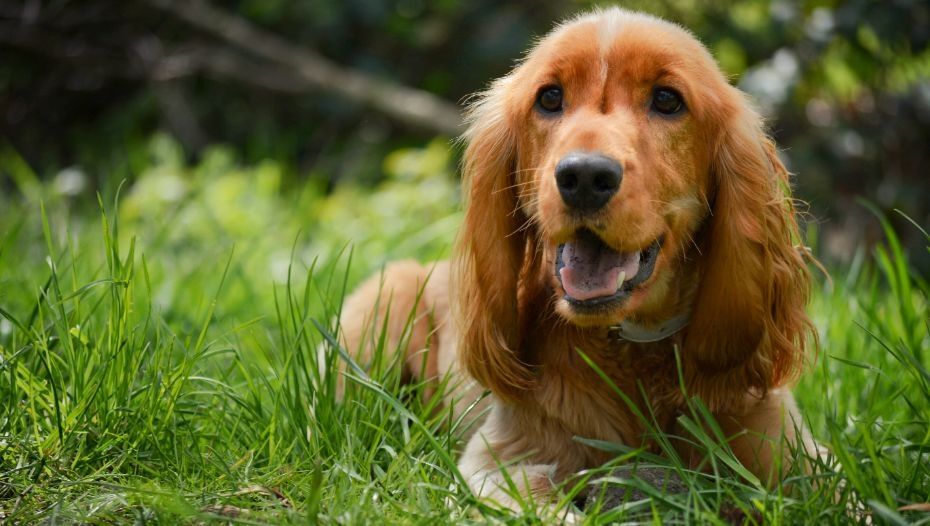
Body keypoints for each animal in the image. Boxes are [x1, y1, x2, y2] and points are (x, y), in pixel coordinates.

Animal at [334, 6, 820, 516]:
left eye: (667, 100)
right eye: (549, 97)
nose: (584, 176)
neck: (631, 349)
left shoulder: (795, 456)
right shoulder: (498, 465)